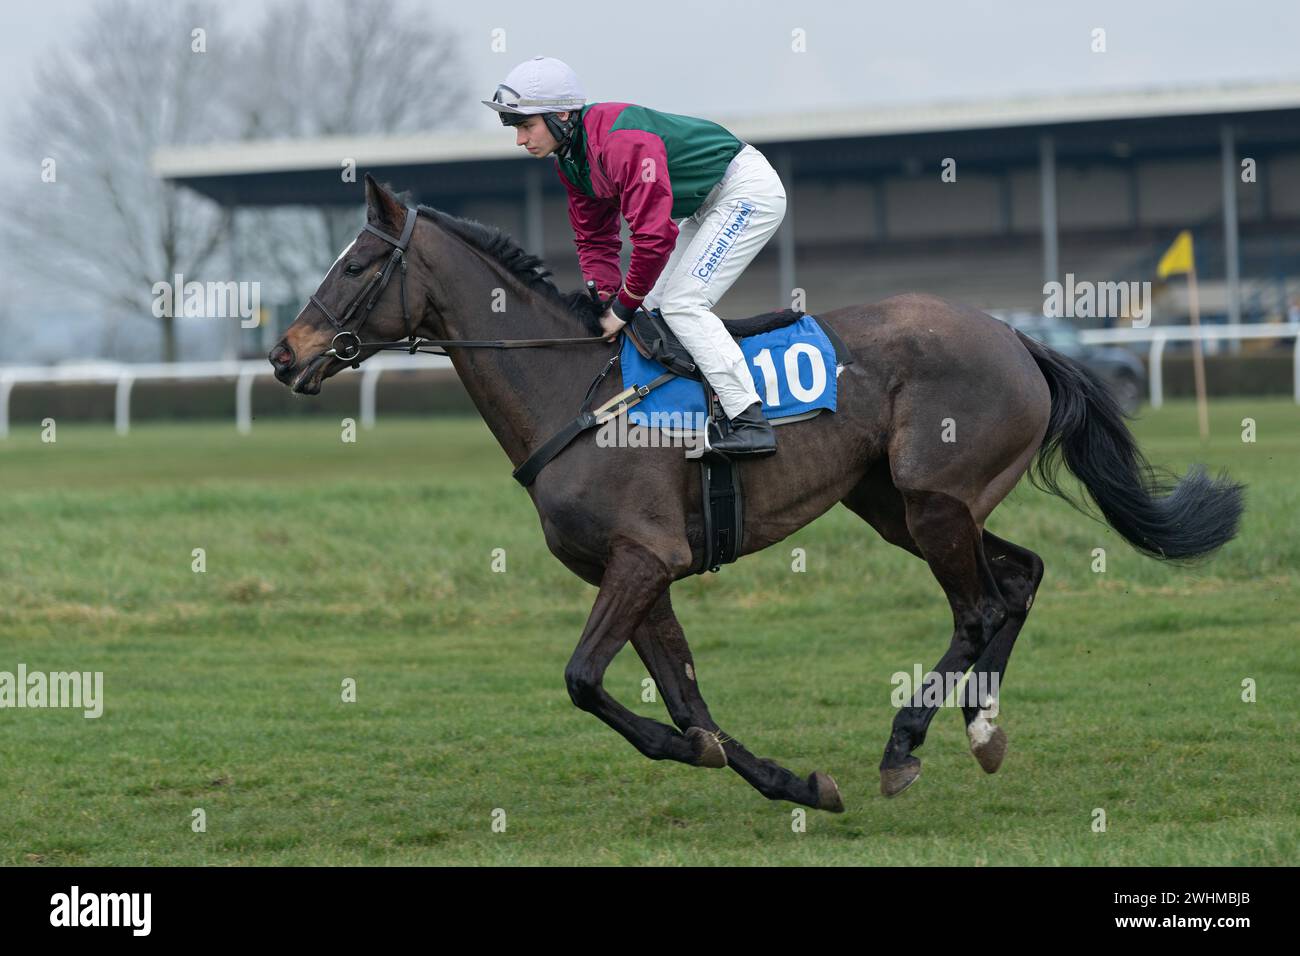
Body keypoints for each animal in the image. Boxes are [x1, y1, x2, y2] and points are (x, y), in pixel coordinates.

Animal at [266, 175, 1237, 811]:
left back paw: (907, 744)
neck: (574, 395)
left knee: (980, 607)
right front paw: (791, 780)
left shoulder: (643, 557)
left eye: (356, 263)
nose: (283, 354)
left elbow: (585, 680)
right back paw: (981, 728)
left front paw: (706, 754)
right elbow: (685, 697)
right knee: (1022, 576)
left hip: (934, 502)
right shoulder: (637, 573)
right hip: (899, 505)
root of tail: (1016, 337)